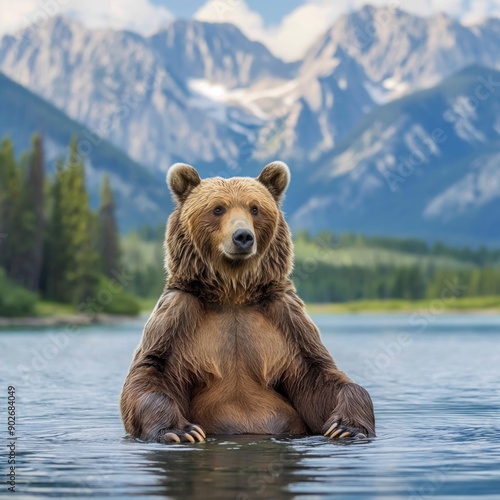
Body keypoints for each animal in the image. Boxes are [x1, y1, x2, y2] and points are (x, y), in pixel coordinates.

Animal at [119, 162, 374, 444]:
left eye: (255, 208)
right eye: (218, 208)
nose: (242, 236)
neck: (233, 292)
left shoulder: (287, 319)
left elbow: (319, 376)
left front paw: (346, 427)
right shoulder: (178, 314)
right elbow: (152, 370)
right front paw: (181, 431)